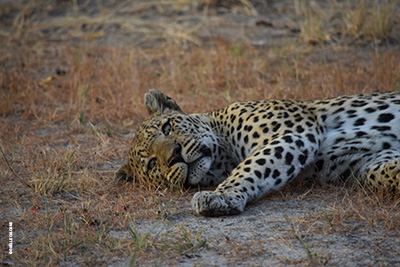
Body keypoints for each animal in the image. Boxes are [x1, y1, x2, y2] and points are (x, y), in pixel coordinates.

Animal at [116, 90, 400, 218]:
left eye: (167, 127)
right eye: (153, 164)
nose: (175, 155)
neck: (223, 158)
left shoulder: (294, 132)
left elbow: (252, 165)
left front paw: (220, 196)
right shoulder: (364, 161)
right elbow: (383, 173)